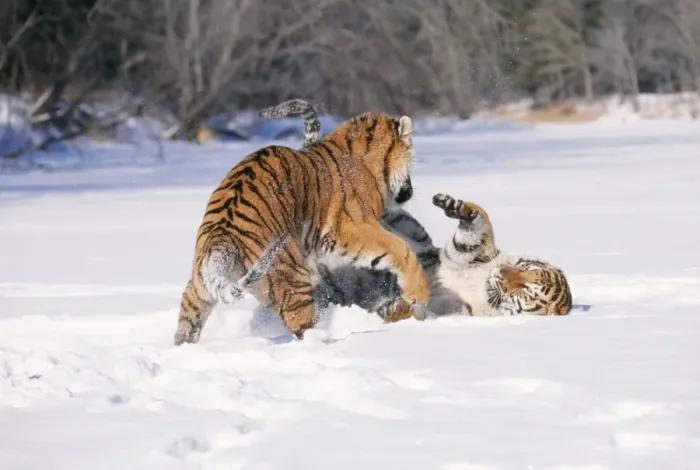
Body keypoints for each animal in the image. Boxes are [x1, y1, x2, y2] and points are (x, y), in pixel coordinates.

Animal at [173, 99, 430, 345]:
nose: (409, 193)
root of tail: (221, 238)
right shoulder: (354, 227)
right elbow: (401, 249)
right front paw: (419, 295)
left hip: (199, 287)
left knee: (188, 317)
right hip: (291, 279)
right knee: (303, 326)